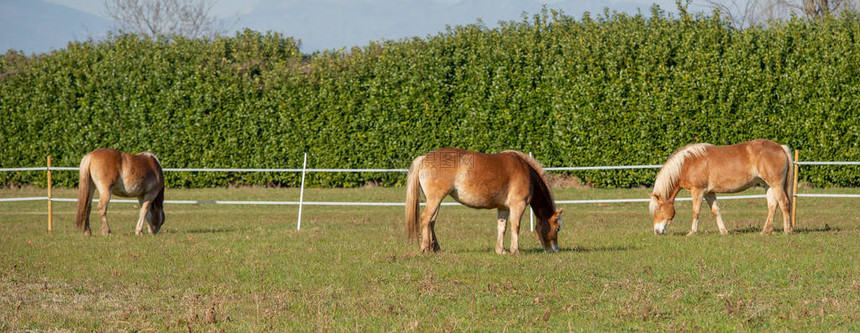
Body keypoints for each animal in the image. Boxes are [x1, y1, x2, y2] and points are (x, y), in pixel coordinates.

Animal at [404, 147, 564, 253]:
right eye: (557, 228)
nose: (554, 250)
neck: (526, 172)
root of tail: (424, 157)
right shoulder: (518, 205)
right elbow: (515, 226)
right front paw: (515, 250)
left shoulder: (504, 208)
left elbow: (502, 227)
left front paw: (501, 250)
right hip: (435, 199)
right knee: (425, 219)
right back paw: (425, 248)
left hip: (435, 201)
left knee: (431, 222)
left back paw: (435, 248)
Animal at [652, 139, 792, 235]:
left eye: (658, 209)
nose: (657, 231)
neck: (689, 163)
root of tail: (780, 147)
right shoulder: (708, 193)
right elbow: (716, 211)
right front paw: (723, 231)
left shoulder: (697, 191)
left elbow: (696, 211)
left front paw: (692, 232)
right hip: (768, 185)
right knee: (772, 206)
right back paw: (765, 231)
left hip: (776, 185)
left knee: (784, 203)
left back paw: (787, 230)